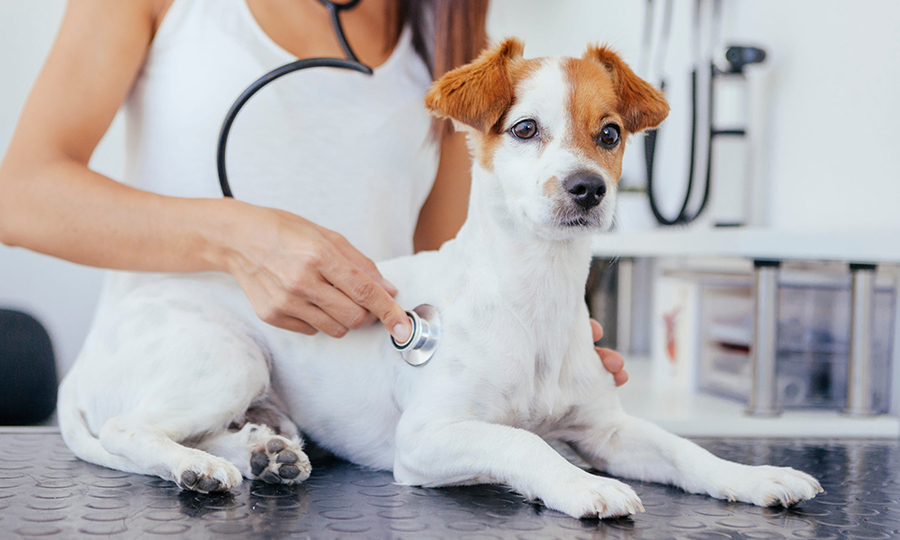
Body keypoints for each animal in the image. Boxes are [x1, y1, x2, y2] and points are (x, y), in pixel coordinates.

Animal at [52, 39, 820, 520]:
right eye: (525, 129)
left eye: (609, 134)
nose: (588, 190)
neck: (534, 297)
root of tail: (83, 361)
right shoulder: (426, 438)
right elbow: (522, 441)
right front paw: (579, 488)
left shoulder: (608, 429)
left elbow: (686, 450)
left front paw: (756, 477)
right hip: (228, 357)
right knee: (130, 427)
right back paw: (205, 469)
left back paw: (261, 453)